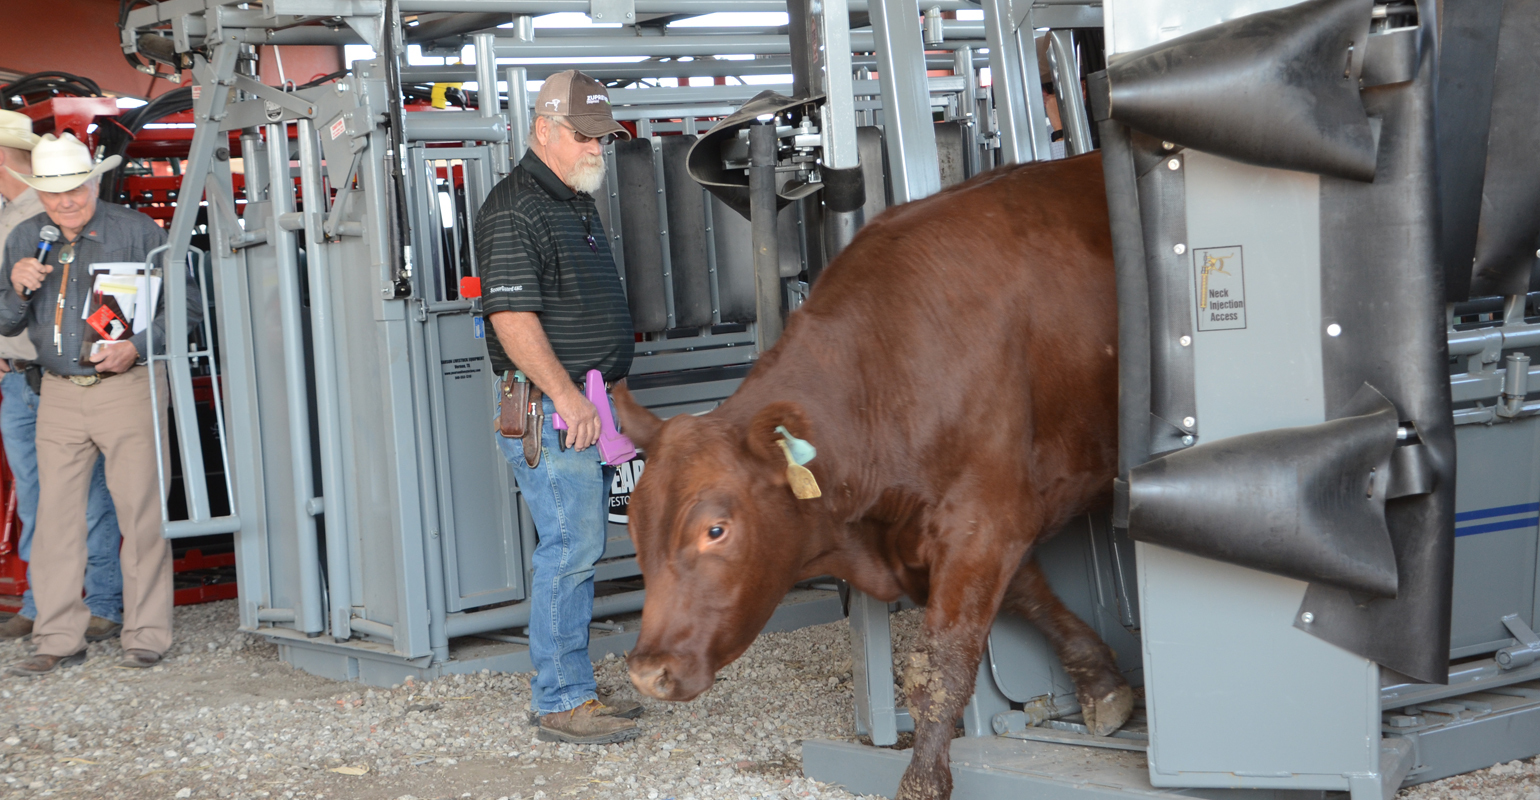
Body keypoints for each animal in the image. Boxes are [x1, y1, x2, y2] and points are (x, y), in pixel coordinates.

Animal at [612, 151, 1133, 800]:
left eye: (715, 531)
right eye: (635, 529)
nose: (646, 672)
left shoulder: (985, 520)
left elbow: (941, 665)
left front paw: (922, 780)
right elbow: (1032, 596)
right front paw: (1103, 681)